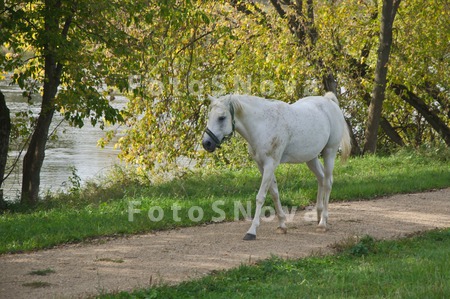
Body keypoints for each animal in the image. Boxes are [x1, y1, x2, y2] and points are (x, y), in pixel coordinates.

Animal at [201, 93, 352, 241]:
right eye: (209, 116)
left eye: (221, 117)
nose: (206, 143)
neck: (262, 125)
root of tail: (328, 100)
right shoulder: (261, 165)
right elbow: (274, 192)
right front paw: (282, 225)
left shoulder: (270, 164)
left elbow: (261, 196)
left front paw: (252, 231)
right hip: (311, 158)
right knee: (321, 178)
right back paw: (319, 215)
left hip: (329, 152)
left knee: (327, 183)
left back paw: (322, 223)